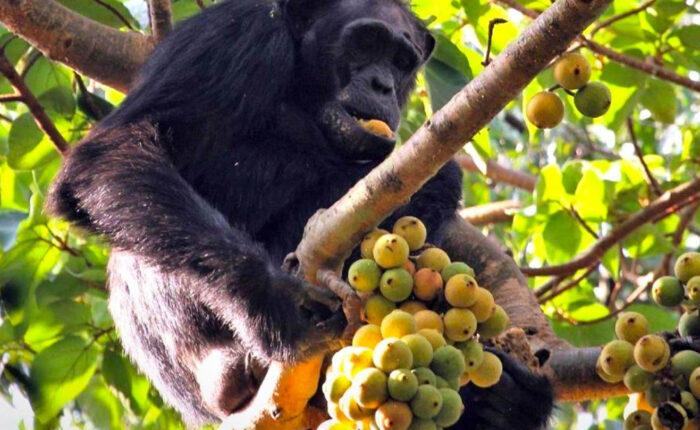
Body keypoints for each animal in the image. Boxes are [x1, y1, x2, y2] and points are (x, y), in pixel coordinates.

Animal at [47, 0, 552, 426]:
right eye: (366, 42)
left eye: (401, 61)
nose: (383, 84)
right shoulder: (233, 35)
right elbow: (116, 152)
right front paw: (274, 301)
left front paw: (508, 397)